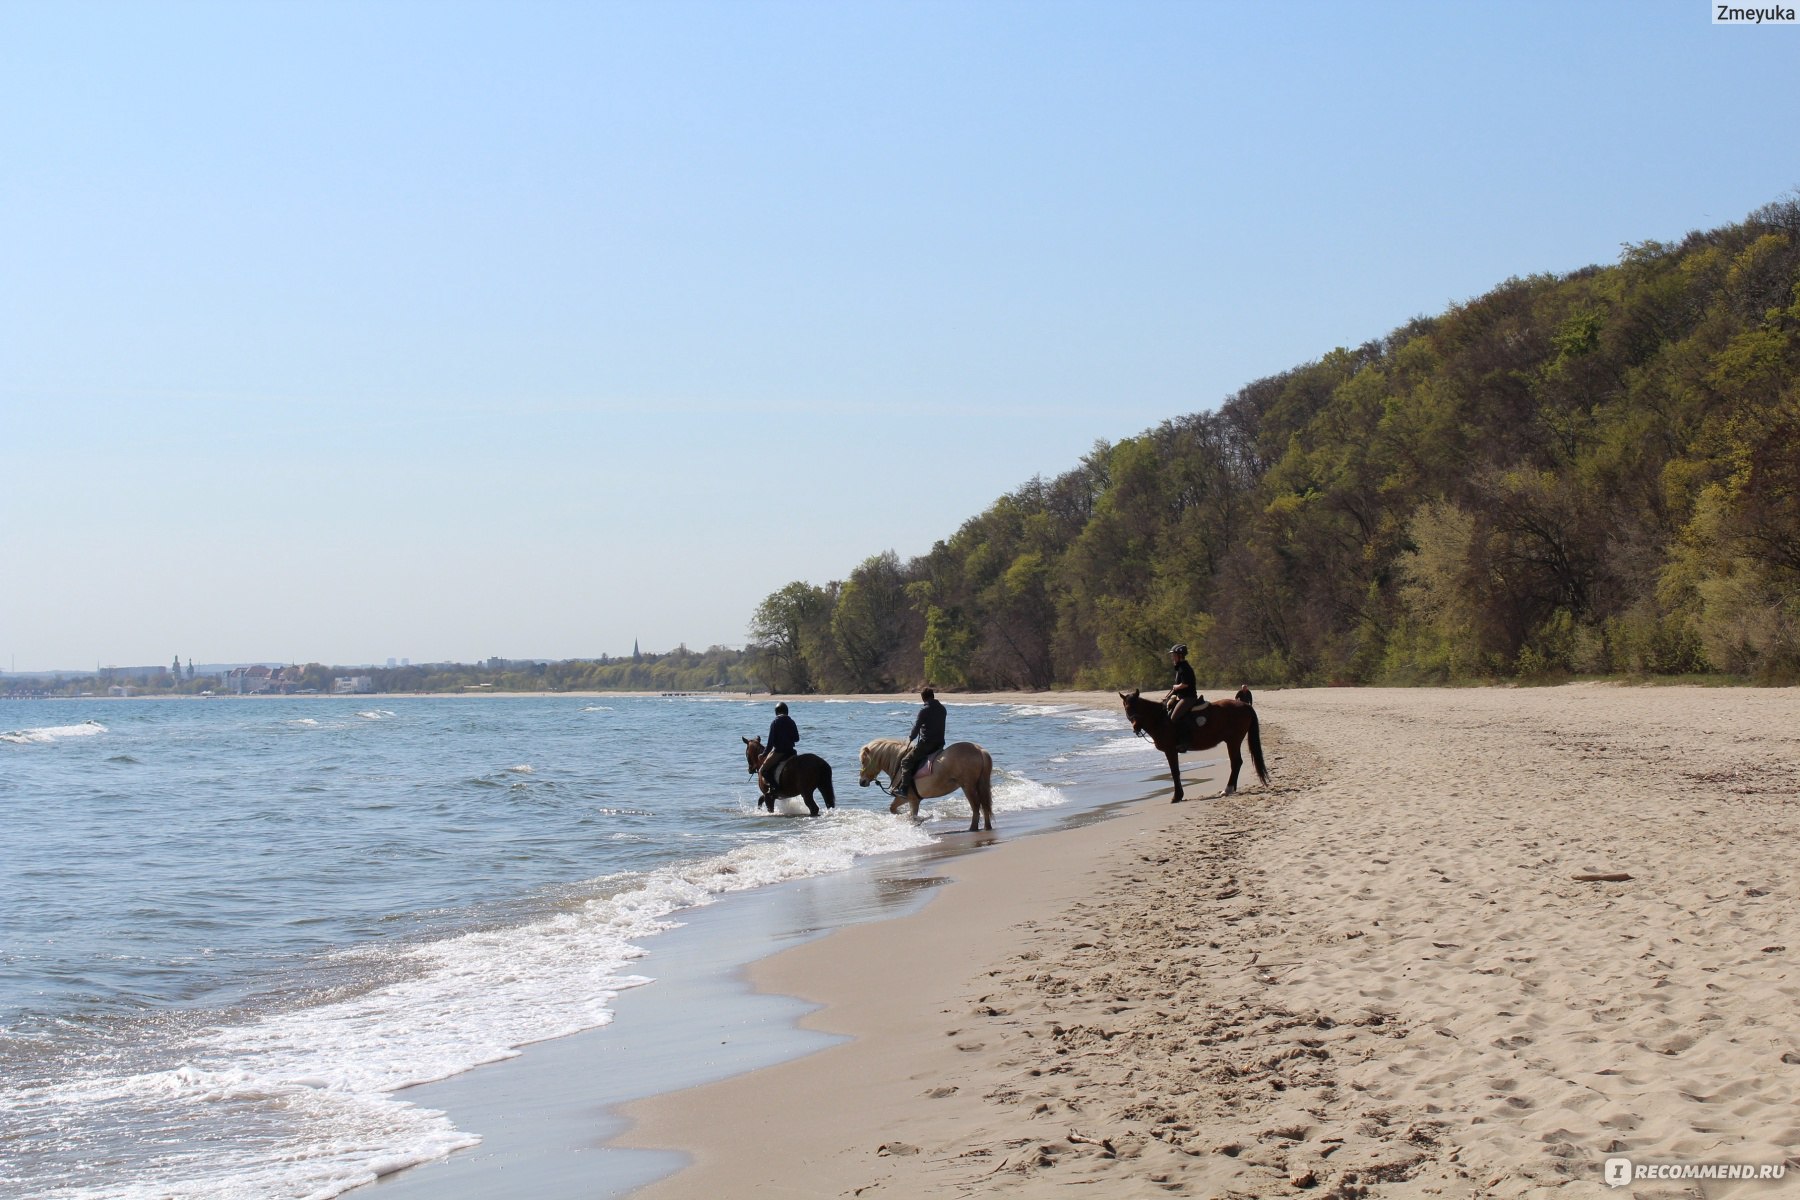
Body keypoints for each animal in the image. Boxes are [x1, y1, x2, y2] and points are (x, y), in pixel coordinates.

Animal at [856, 737, 1000, 831]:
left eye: (863, 761)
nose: (862, 782)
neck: (899, 765)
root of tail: (979, 750)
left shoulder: (911, 799)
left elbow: (911, 815)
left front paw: (921, 819)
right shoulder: (906, 798)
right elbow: (893, 809)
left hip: (968, 787)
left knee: (976, 807)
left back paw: (972, 828)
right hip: (979, 785)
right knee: (984, 806)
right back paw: (986, 827)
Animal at [1108, 683, 1267, 805]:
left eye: (1137, 706)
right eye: (1126, 707)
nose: (1136, 727)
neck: (1160, 719)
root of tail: (1244, 705)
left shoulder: (1170, 750)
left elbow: (1175, 772)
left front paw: (1176, 796)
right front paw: (1178, 796)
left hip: (1233, 740)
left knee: (1236, 762)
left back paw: (1227, 789)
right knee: (1236, 762)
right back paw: (1231, 788)